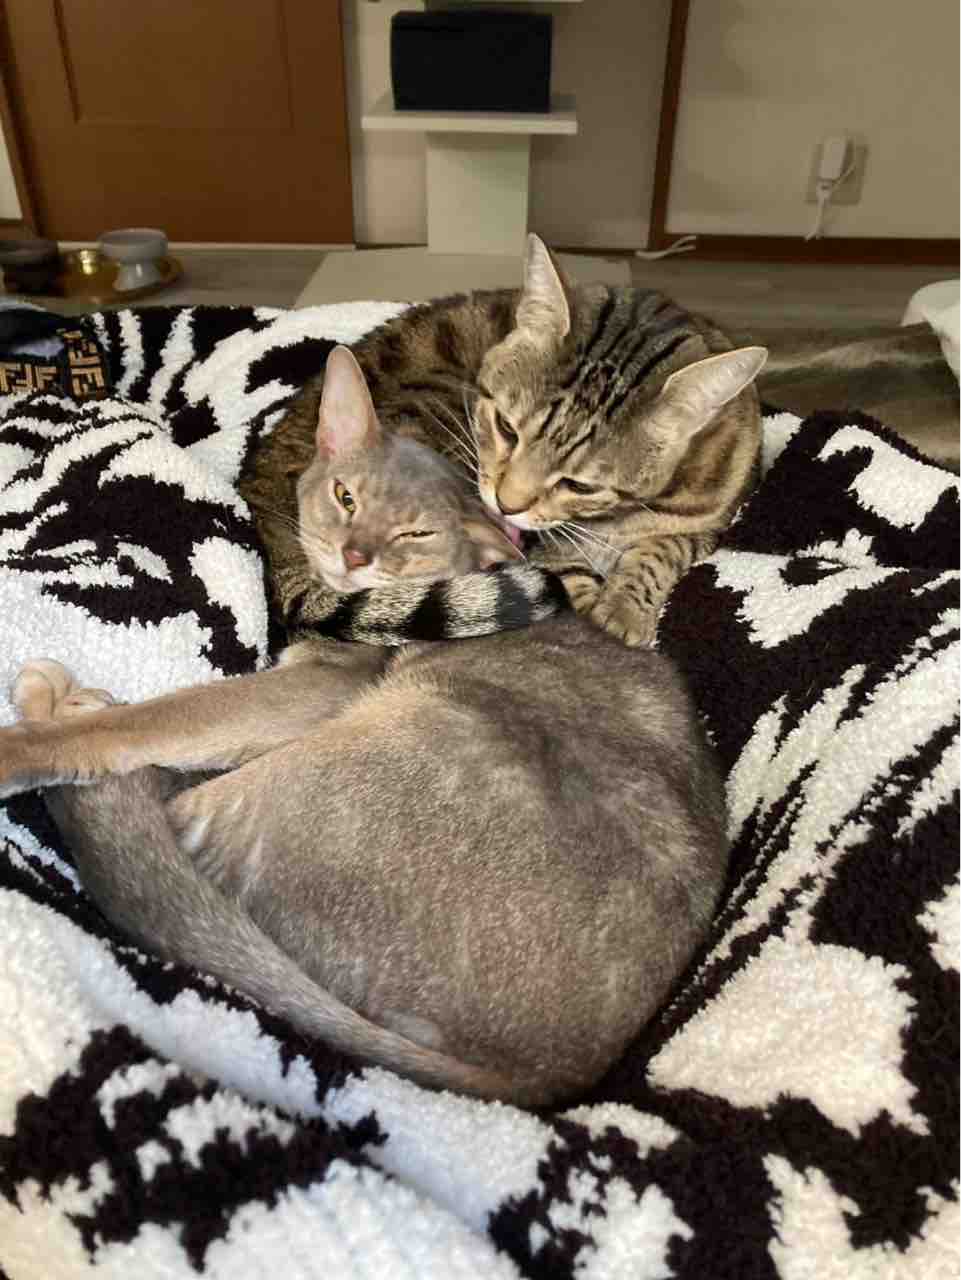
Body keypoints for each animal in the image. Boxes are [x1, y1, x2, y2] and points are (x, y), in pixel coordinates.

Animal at [240, 232, 767, 647]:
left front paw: (623, 607)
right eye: (507, 429)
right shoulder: (537, 544)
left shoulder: (716, 518)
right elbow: (565, 568)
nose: (506, 505)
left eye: (580, 484)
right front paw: (594, 616)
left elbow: (661, 550)